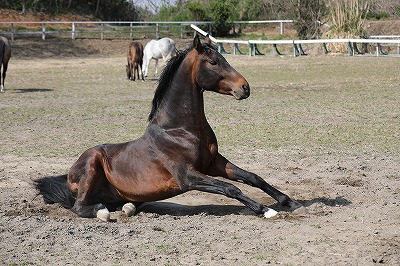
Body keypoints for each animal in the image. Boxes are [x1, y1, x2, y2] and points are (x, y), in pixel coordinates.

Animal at [35, 35, 304, 222]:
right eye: (213, 62)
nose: (245, 87)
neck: (179, 130)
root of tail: (69, 174)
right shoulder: (187, 176)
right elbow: (231, 187)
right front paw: (265, 210)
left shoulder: (214, 163)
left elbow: (252, 177)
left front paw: (288, 201)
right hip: (92, 163)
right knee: (80, 207)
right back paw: (103, 212)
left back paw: (128, 207)